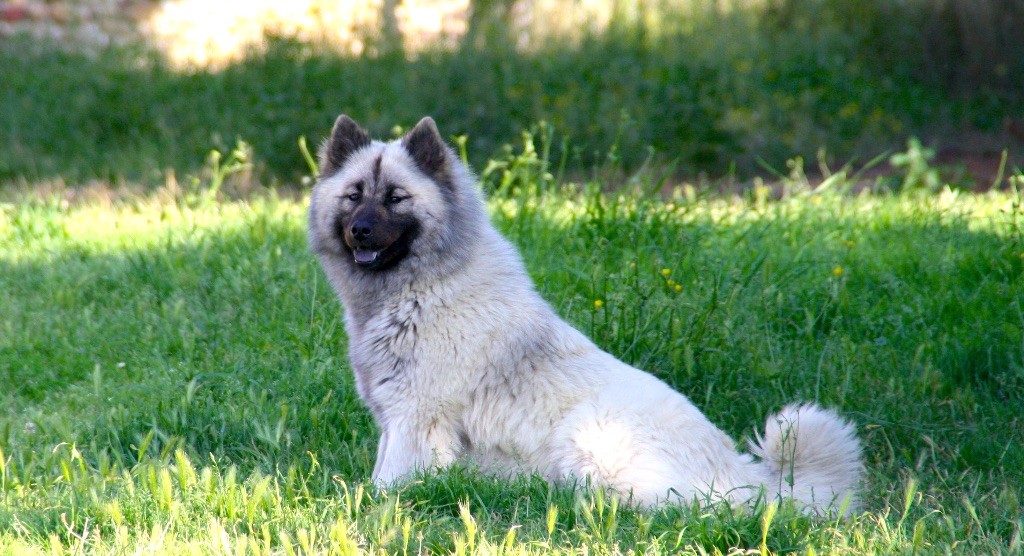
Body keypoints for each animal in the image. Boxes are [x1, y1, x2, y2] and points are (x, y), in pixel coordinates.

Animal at [305, 116, 864, 514]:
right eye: (354, 195)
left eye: (395, 198)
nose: (359, 231)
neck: (424, 287)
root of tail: (746, 478)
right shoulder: (395, 419)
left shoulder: (416, 419)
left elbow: (387, 483)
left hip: (588, 435)